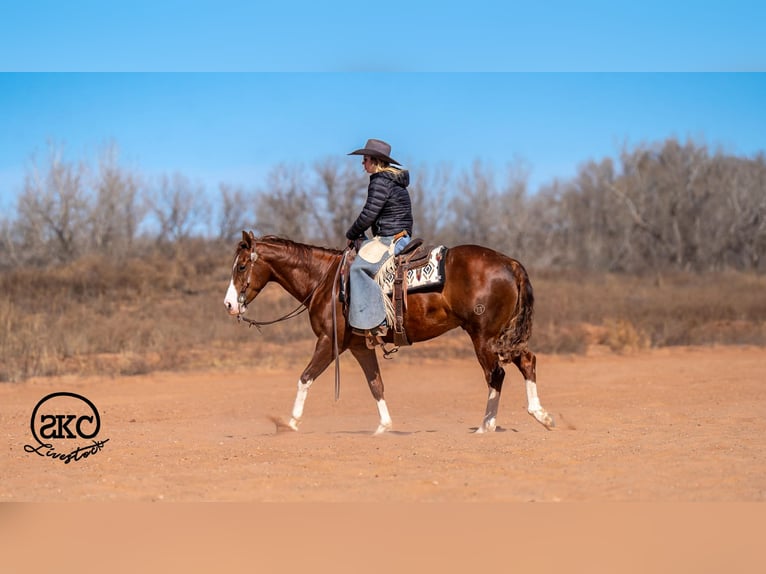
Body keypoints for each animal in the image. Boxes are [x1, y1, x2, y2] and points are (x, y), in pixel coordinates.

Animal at [224, 231, 554, 434]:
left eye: (241, 267)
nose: (229, 304)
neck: (324, 280)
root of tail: (510, 263)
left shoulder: (329, 342)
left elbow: (304, 378)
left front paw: (289, 424)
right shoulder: (359, 346)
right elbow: (376, 384)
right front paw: (383, 427)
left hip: (484, 337)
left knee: (496, 374)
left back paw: (486, 426)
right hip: (501, 336)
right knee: (527, 361)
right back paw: (541, 416)